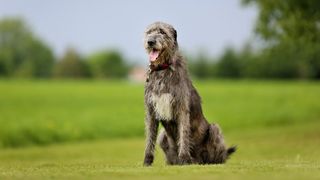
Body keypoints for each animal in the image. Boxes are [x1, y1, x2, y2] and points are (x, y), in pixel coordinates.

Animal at [142, 21, 235, 166]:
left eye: (162, 32)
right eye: (149, 32)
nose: (150, 41)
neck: (162, 69)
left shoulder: (181, 107)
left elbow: (183, 133)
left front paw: (185, 158)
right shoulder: (151, 110)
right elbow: (150, 137)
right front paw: (147, 161)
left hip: (214, 129)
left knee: (216, 154)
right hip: (163, 136)